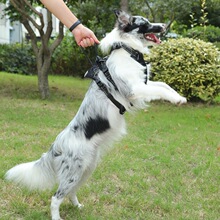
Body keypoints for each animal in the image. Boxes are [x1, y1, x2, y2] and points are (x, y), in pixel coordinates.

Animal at [5, 10, 186, 220]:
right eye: (145, 23)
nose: (164, 26)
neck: (128, 50)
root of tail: (56, 146)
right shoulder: (134, 90)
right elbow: (161, 89)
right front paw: (177, 99)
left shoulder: (143, 85)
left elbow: (165, 86)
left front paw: (180, 97)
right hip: (73, 173)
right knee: (56, 197)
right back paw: (57, 217)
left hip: (86, 169)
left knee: (71, 192)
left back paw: (77, 206)